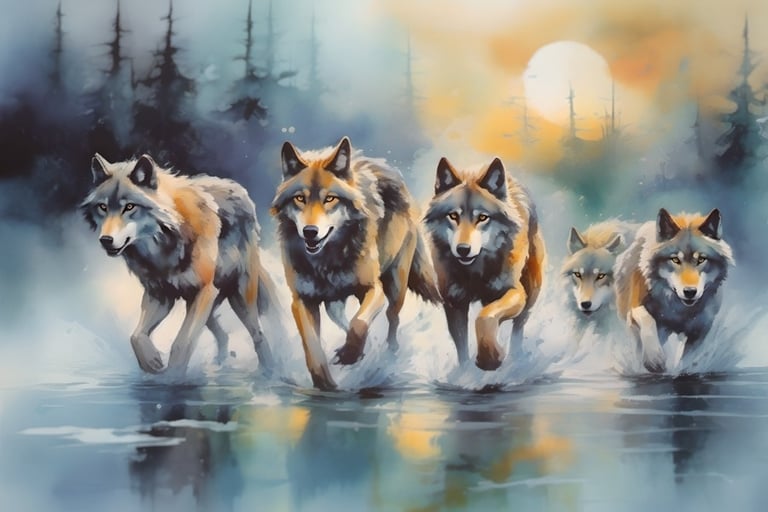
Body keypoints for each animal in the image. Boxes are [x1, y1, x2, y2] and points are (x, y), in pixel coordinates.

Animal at [81, 153, 278, 375]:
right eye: (103, 207)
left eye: (129, 207)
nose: (106, 240)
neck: (164, 246)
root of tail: (241, 191)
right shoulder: (159, 295)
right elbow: (136, 336)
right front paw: (152, 362)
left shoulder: (203, 290)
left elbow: (182, 344)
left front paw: (173, 377)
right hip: (206, 301)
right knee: (223, 334)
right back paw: (220, 364)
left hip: (238, 296)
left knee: (258, 334)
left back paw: (271, 371)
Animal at [270, 136, 440, 390]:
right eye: (300, 198)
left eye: (330, 199)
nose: (310, 232)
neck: (327, 261)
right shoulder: (302, 300)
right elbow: (313, 348)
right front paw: (326, 384)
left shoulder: (373, 289)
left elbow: (359, 323)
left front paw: (350, 354)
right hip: (334, 302)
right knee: (342, 319)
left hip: (395, 287)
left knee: (391, 320)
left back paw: (388, 355)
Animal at [423, 156, 546, 370]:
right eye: (453, 216)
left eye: (482, 218)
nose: (463, 249)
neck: (475, 273)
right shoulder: (454, 302)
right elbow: (462, 345)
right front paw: (466, 371)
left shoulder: (515, 292)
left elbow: (484, 317)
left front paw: (490, 358)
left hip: (531, 291)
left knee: (519, 326)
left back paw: (516, 357)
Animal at [614, 208, 734, 372]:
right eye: (675, 260)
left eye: (701, 259)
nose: (690, 291)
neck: (677, 311)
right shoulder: (636, 309)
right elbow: (648, 319)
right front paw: (654, 359)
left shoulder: (699, 331)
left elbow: (688, 361)